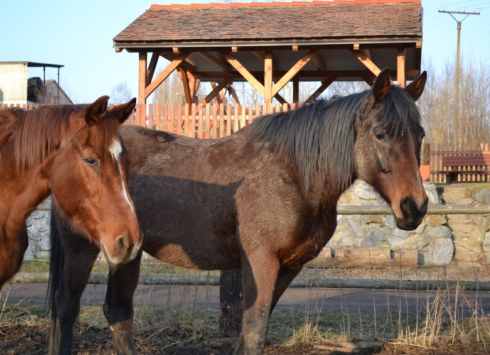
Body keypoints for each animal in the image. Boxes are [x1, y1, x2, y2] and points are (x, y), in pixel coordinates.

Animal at [47, 70, 426, 355]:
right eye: (381, 133)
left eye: (420, 134)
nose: (415, 206)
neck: (293, 172)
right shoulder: (260, 262)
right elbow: (255, 332)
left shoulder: (288, 265)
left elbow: (251, 333)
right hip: (83, 249)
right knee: (66, 307)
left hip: (127, 252)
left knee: (117, 310)